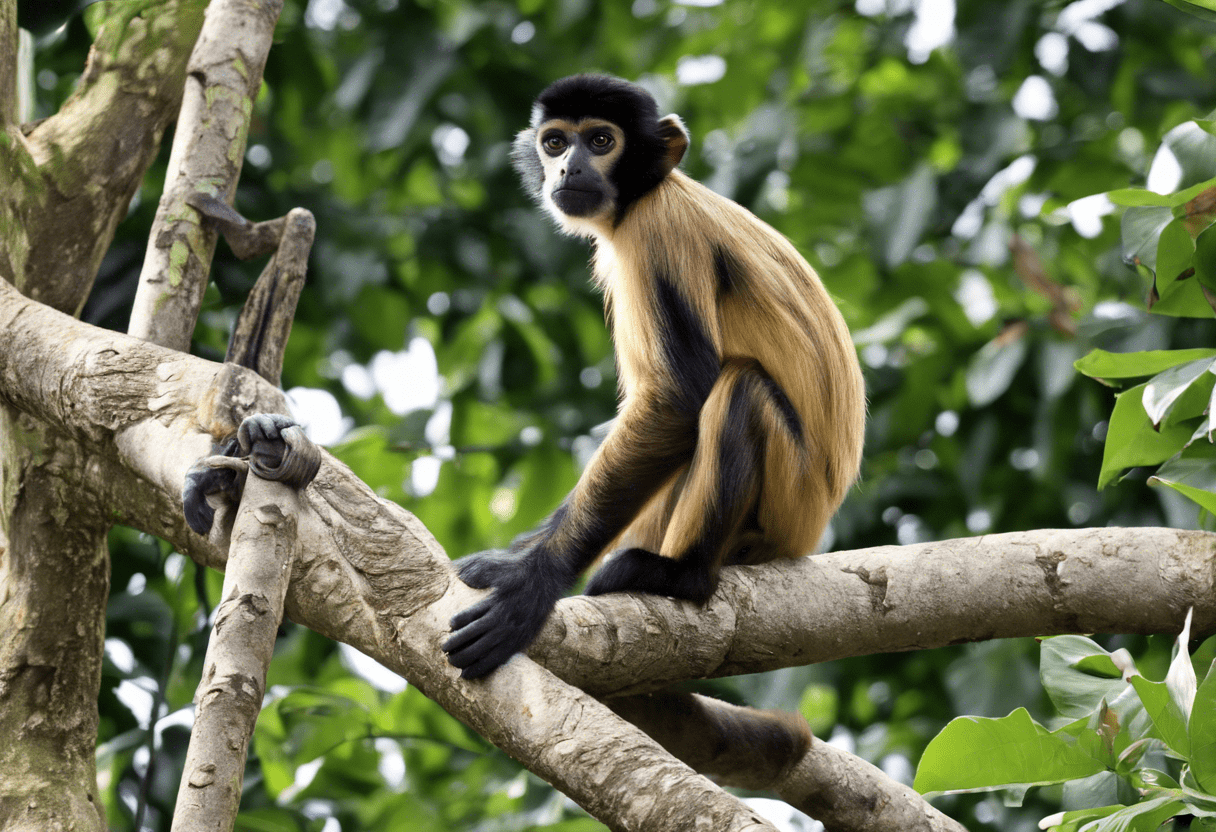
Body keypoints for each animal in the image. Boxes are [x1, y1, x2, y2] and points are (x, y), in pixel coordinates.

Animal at [442, 72, 870, 681]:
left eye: (601, 141)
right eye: (555, 143)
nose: (569, 168)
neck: (645, 197)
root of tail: (814, 524)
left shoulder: (658, 229)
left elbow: (679, 400)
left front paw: (532, 581)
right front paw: (518, 558)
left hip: (792, 496)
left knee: (740, 388)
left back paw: (682, 577)